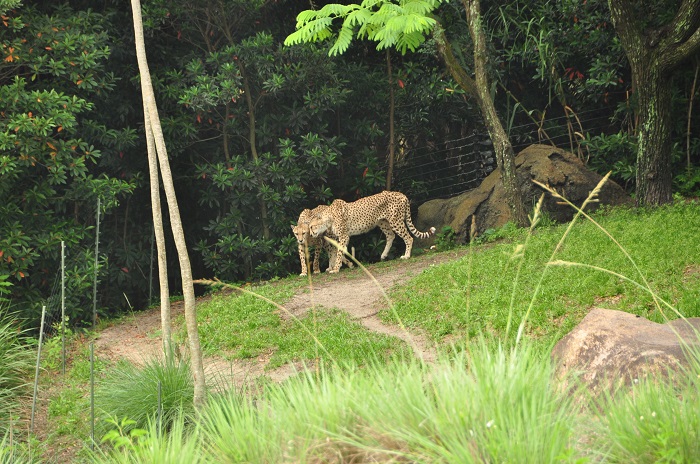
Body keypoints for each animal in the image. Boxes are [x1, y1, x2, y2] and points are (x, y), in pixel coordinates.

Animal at [308, 190, 436, 273]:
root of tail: (401, 194)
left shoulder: (344, 236)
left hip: (395, 221)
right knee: (391, 235)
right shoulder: (338, 237)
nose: (310, 234)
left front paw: (335, 268)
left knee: (408, 237)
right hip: (382, 222)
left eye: (311, 226)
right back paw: (384, 255)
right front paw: (334, 266)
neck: (328, 218)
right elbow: (335, 251)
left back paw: (406, 255)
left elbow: (338, 252)